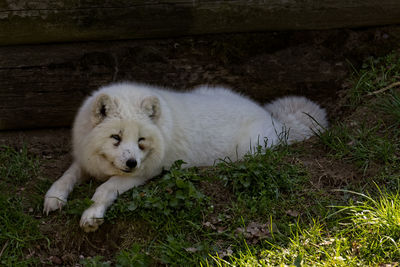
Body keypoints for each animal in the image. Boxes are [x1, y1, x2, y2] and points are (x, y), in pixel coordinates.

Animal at [43, 82, 328, 233]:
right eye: (116, 137)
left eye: (141, 141)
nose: (131, 163)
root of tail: (276, 122)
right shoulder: (85, 160)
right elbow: (65, 176)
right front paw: (54, 198)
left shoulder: (144, 173)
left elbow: (104, 189)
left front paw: (92, 215)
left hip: (249, 150)